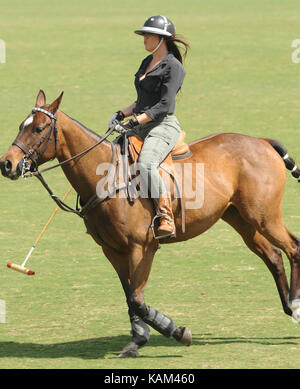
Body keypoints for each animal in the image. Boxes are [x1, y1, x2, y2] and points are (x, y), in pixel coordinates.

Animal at [0, 89, 300, 356]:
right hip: (242, 219)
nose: (7, 164)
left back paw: (295, 305)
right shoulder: (112, 250)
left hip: (265, 216)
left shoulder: (142, 247)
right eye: (20, 125)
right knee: (273, 255)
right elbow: (130, 297)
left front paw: (177, 332)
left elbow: (136, 298)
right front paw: (138, 340)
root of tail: (262, 141)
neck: (105, 176)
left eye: (39, 129)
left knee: (293, 247)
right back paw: (289, 308)